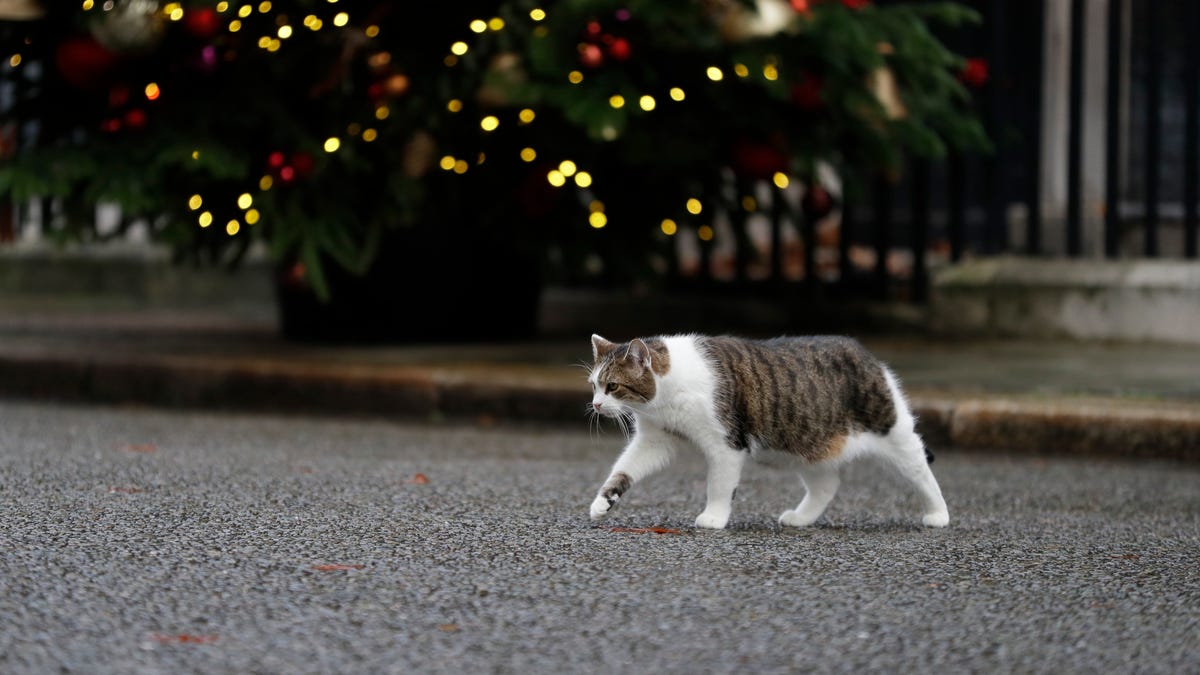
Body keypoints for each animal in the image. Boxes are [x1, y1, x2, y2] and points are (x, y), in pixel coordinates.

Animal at [585, 333, 950, 528]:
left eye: (612, 386)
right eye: (594, 385)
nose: (596, 405)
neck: (669, 385)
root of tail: (868, 355)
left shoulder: (725, 445)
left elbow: (720, 486)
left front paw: (714, 518)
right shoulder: (656, 440)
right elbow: (624, 469)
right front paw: (604, 501)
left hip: (893, 434)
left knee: (921, 470)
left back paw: (938, 514)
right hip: (804, 444)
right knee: (826, 484)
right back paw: (801, 518)